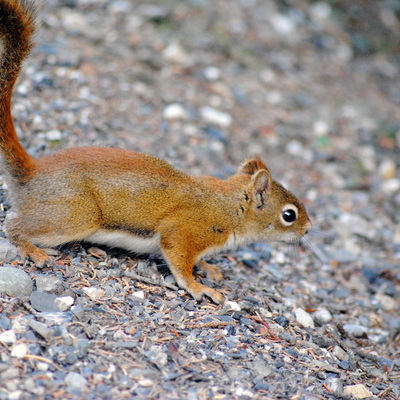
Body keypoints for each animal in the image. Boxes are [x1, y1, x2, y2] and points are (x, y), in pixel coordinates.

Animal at [0, 0, 310, 304]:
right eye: (289, 215)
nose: (308, 229)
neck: (230, 206)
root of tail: (31, 174)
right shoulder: (188, 229)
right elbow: (179, 259)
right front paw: (198, 287)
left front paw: (208, 267)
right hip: (75, 215)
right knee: (14, 226)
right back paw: (32, 249)